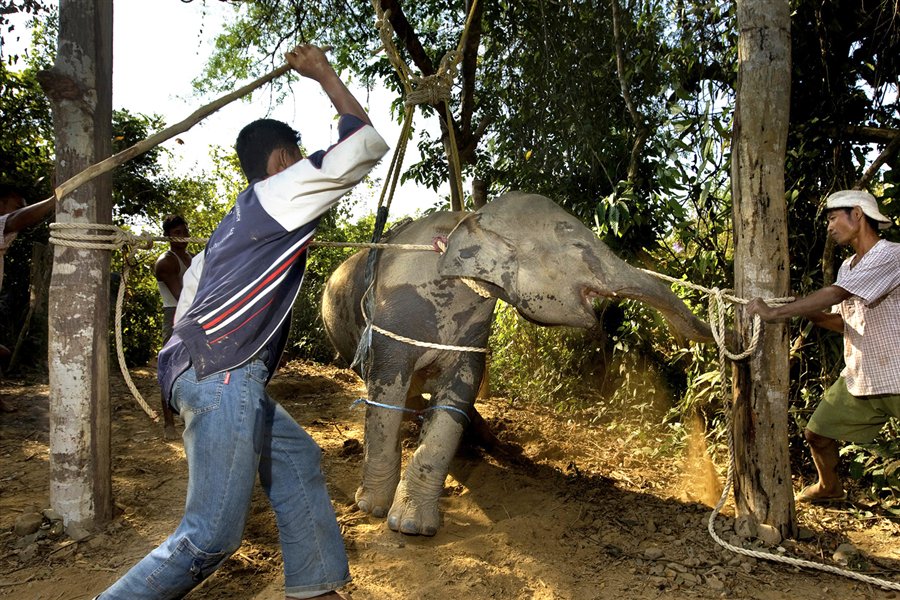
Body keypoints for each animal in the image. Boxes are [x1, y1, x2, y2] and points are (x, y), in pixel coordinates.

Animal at [321, 191, 712, 536]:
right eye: (577, 246)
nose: (701, 332)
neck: (468, 219)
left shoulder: (474, 330)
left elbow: (459, 394)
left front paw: (414, 525)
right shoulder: (393, 317)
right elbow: (385, 391)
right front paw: (372, 508)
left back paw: (497, 449)